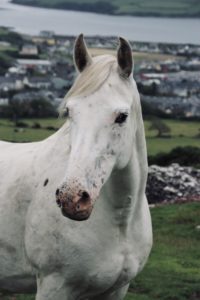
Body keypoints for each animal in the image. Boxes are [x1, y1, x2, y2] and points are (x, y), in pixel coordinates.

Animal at [0, 35, 152, 300]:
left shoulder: (117, 290)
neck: (121, 221)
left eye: (122, 116)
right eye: (70, 111)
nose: (72, 199)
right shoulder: (54, 286)